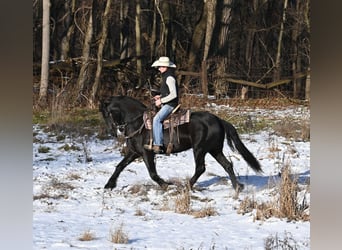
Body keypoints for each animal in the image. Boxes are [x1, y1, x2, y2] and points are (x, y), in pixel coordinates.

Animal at [99, 95, 262, 191]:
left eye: (107, 114)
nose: (112, 132)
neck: (139, 123)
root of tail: (218, 120)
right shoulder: (134, 152)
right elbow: (120, 166)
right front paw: (109, 185)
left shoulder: (147, 153)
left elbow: (152, 173)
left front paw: (166, 185)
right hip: (214, 150)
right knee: (227, 165)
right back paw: (237, 187)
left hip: (200, 149)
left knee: (201, 168)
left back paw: (187, 186)